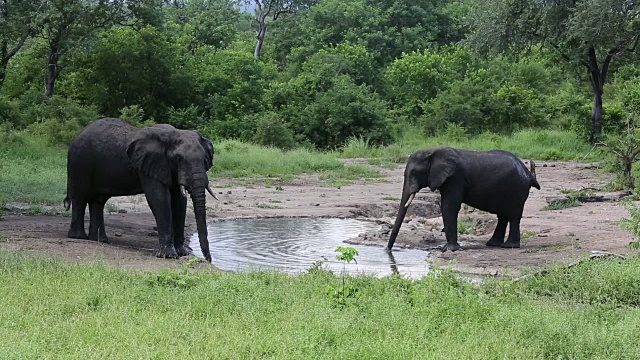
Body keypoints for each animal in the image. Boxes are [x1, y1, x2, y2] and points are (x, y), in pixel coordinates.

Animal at [63, 118, 216, 262]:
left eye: (204, 159)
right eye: (178, 158)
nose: (208, 260)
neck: (172, 134)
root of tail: (77, 136)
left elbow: (179, 201)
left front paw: (182, 253)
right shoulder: (149, 165)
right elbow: (159, 198)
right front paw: (169, 256)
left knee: (98, 201)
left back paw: (100, 240)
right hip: (80, 163)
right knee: (80, 198)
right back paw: (79, 237)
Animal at [384, 148, 540, 252]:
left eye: (414, 173)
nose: (388, 250)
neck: (432, 152)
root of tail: (527, 173)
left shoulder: (455, 178)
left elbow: (448, 207)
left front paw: (448, 249)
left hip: (517, 189)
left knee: (513, 215)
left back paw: (509, 246)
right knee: (503, 215)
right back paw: (493, 244)